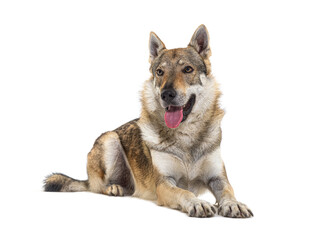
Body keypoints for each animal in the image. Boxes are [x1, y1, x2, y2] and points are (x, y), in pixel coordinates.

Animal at [44, 24, 253, 218]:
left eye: (188, 69)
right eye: (160, 72)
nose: (166, 94)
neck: (186, 136)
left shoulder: (218, 177)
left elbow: (228, 191)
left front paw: (234, 204)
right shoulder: (164, 183)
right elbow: (184, 192)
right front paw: (197, 202)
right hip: (110, 139)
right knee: (97, 187)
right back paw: (113, 188)